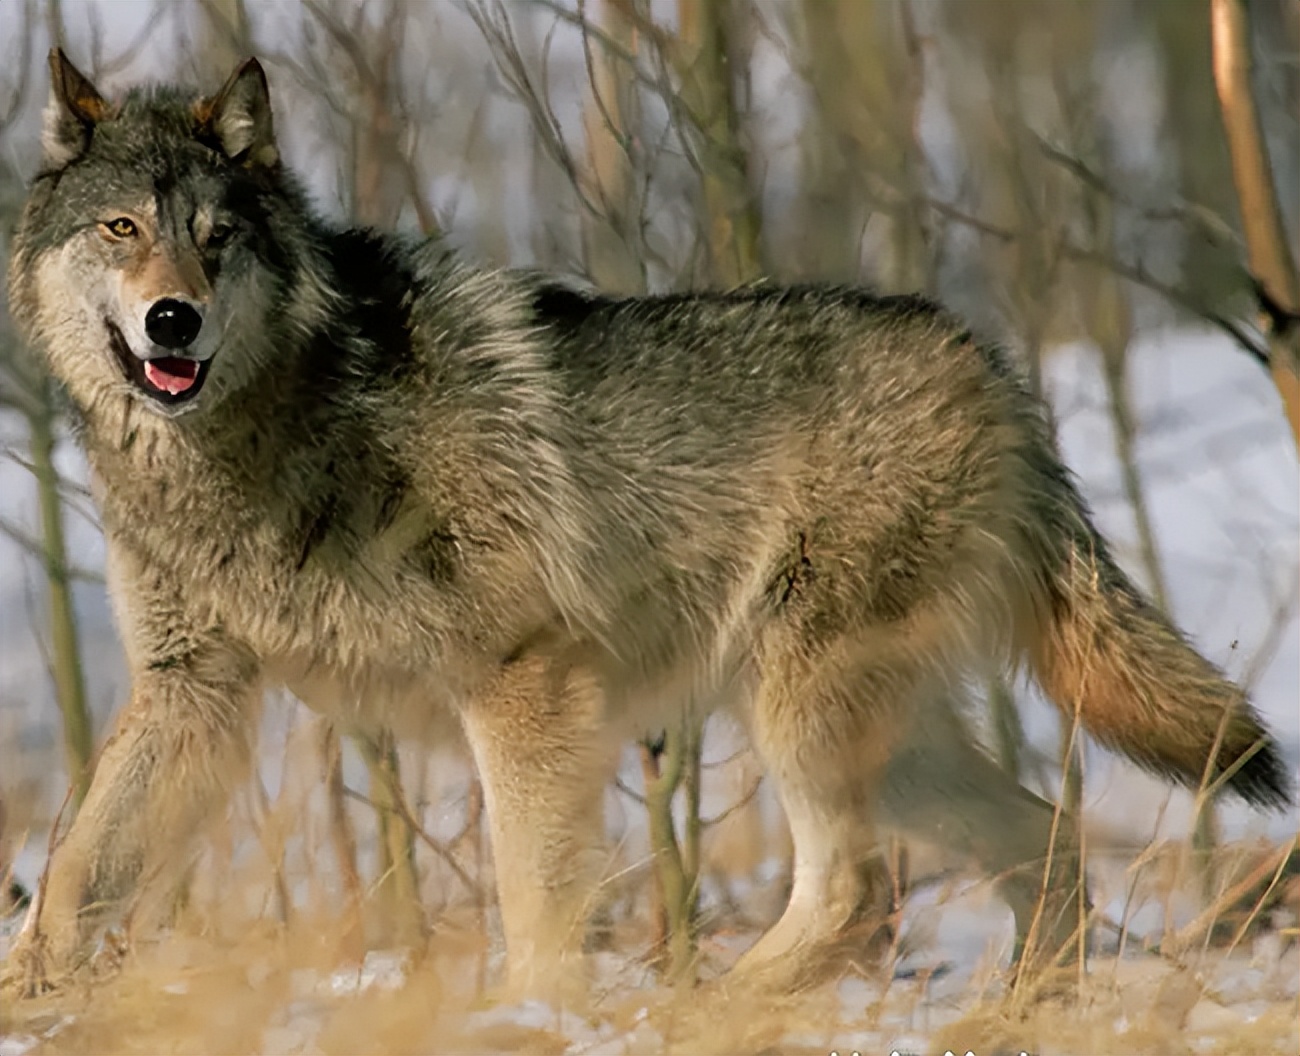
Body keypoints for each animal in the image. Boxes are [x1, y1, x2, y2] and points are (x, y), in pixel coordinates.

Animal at [2, 49, 1289, 1003]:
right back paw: (1015, 1014)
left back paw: (709, 1013)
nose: (174, 321)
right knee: (1043, 836)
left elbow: (535, 904)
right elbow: (72, 876)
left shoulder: (525, 683)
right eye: (121, 230)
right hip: (888, 741)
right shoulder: (195, 692)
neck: (262, 433)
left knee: (857, 891)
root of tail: (992, 367)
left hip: (801, 710)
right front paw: (37, 990)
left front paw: (531, 1018)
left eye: (217, 236)